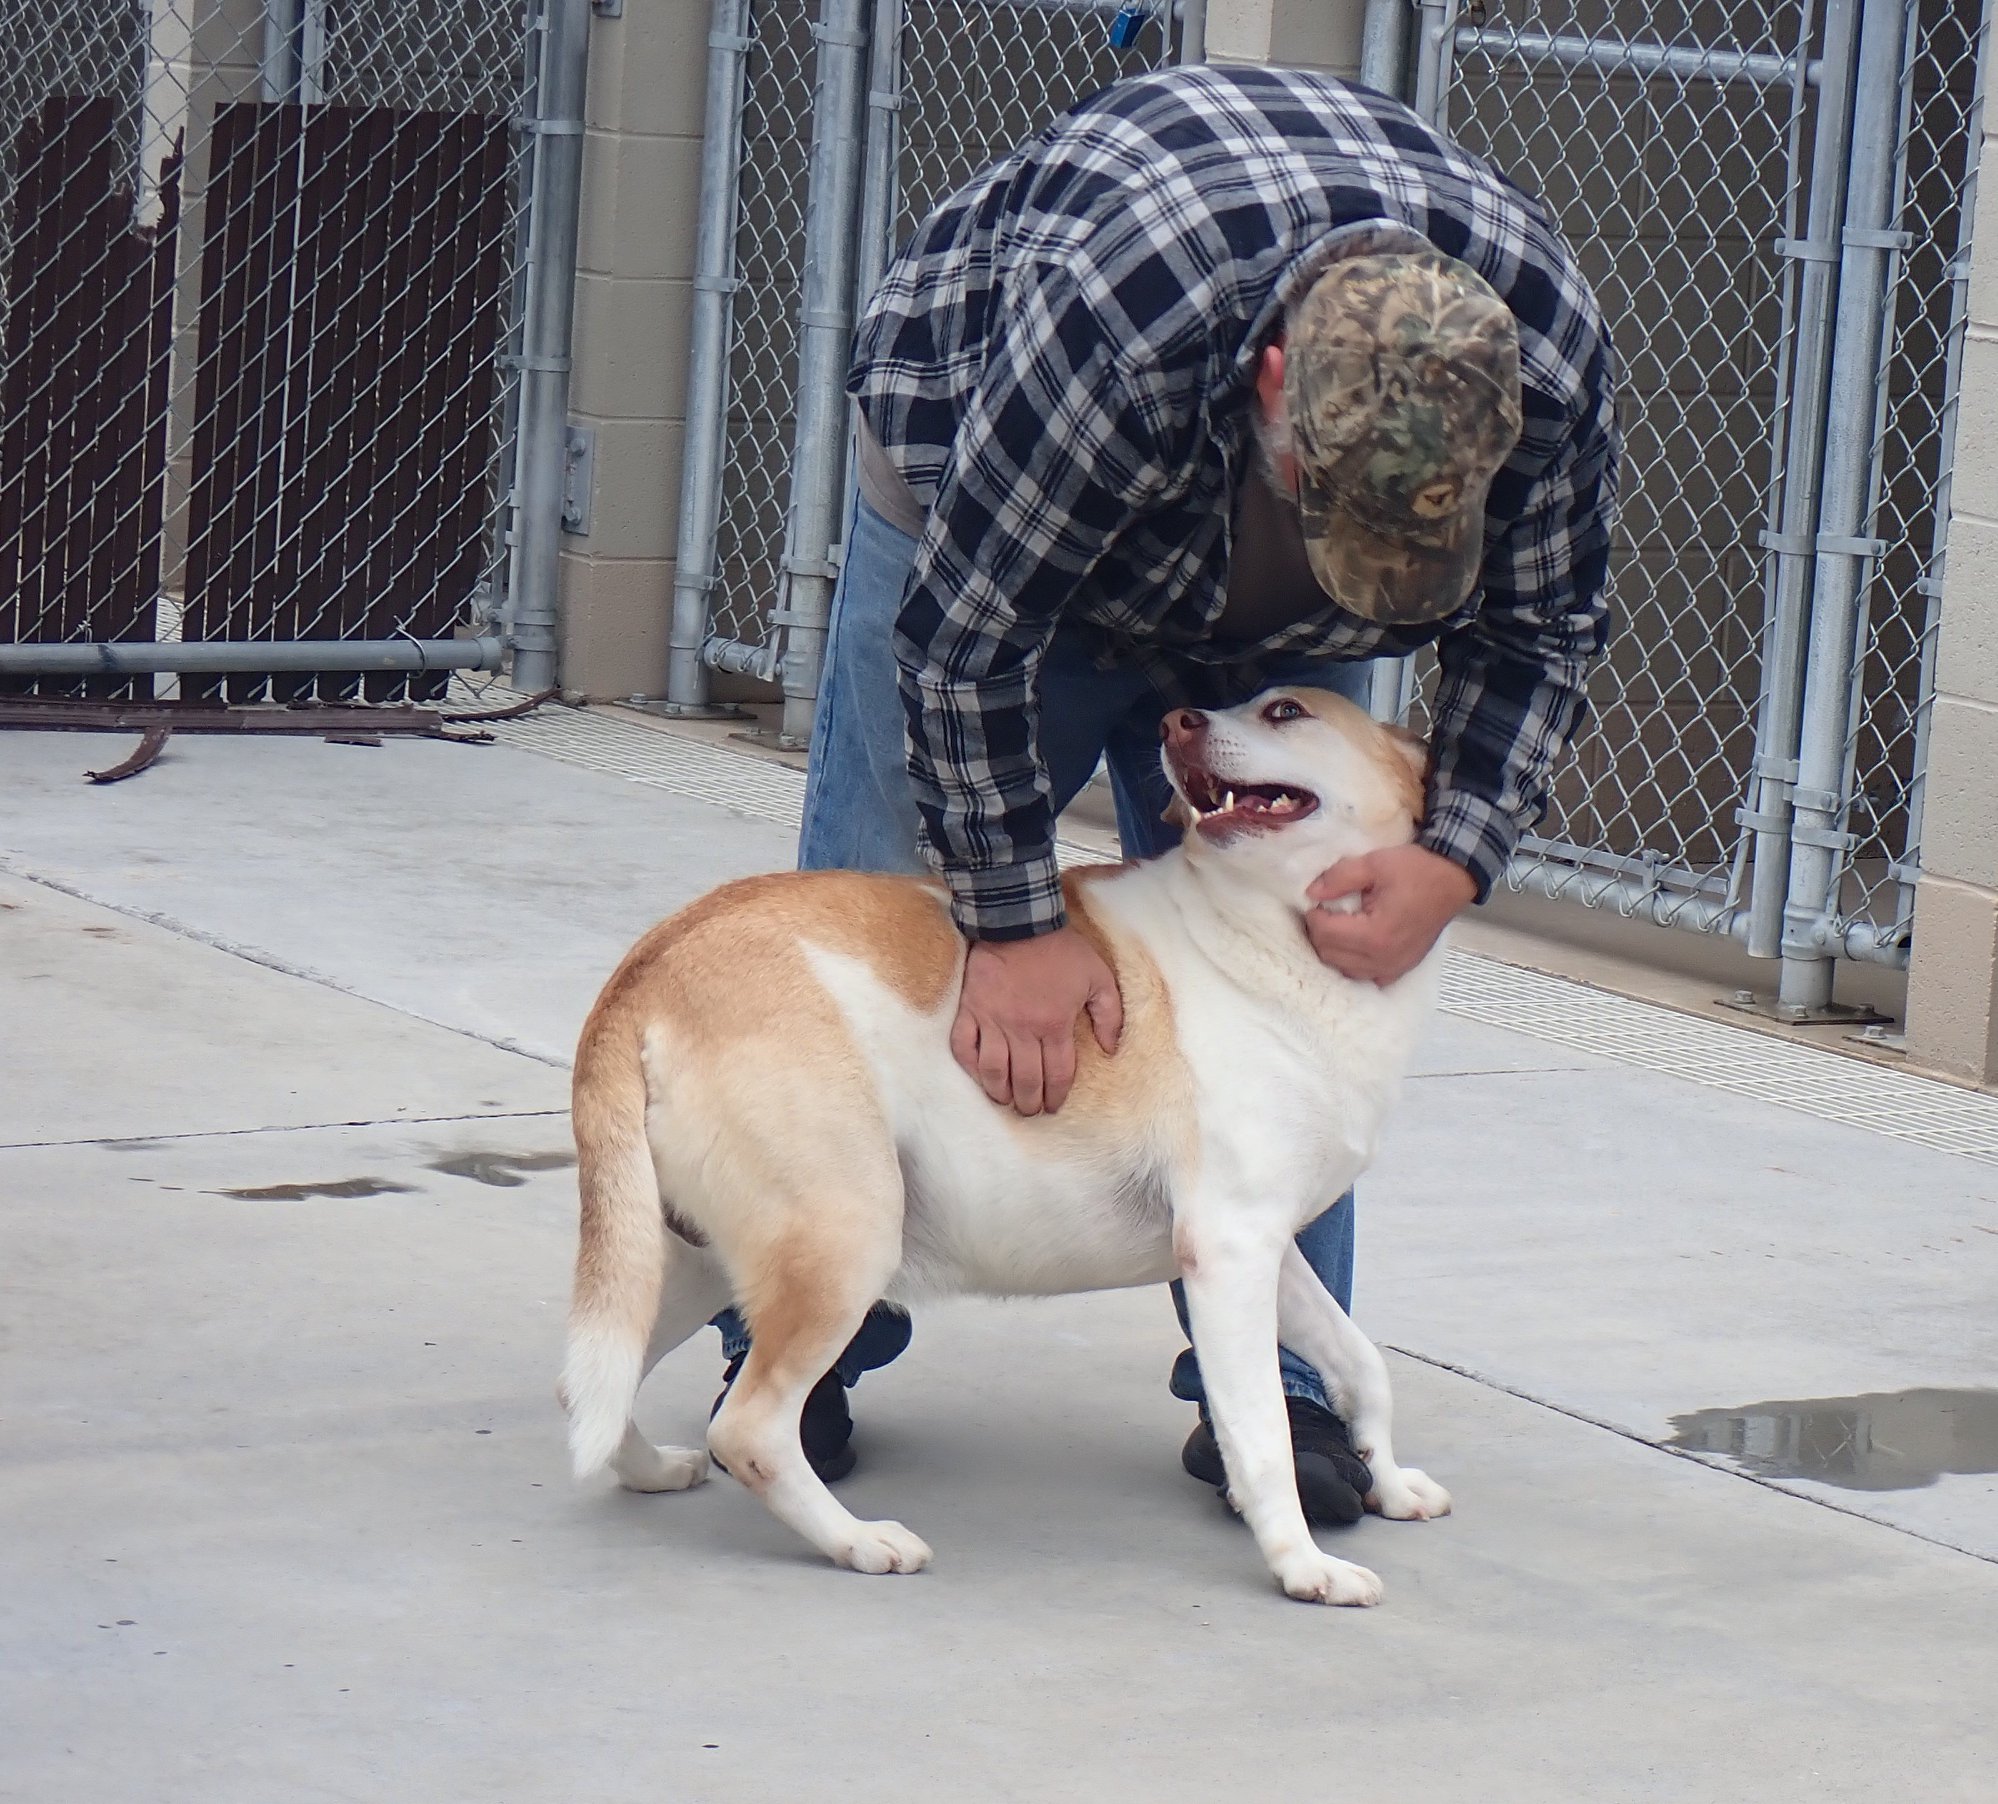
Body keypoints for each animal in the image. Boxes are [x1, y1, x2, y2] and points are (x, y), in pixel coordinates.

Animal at [563, 687, 1454, 1606]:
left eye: (1282, 709)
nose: (1176, 721)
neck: (1271, 934)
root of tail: (650, 970)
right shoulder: (1230, 1250)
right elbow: (1265, 1436)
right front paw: (1303, 1564)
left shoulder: (1269, 1249)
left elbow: (1362, 1363)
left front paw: (1388, 1481)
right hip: (846, 1241)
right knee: (750, 1429)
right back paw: (858, 1541)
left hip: (689, 1263)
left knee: (596, 1382)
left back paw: (650, 1470)